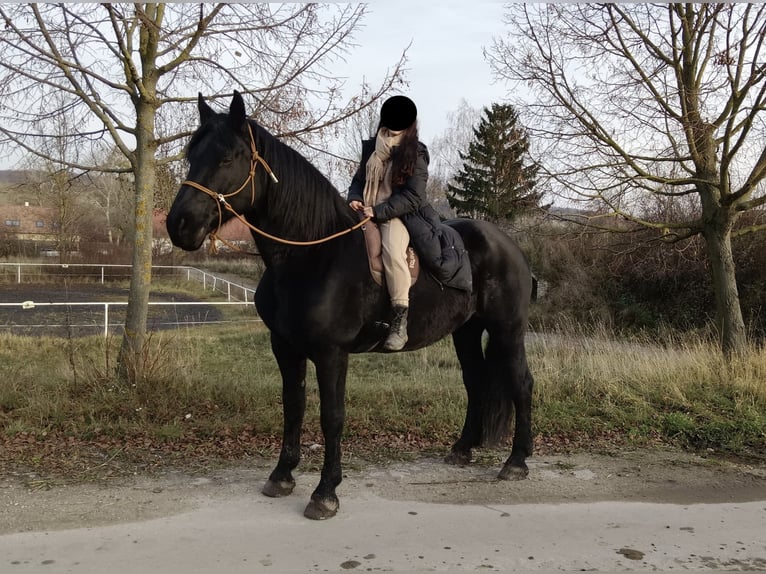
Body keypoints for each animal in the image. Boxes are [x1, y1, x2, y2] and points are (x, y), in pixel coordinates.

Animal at [166, 91, 536, 520]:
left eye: (227, 158)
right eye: (193, 155)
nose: (179, 224)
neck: (311, 255)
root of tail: (511, 246)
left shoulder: (331, 354)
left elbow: (332, 417)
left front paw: (325, 492)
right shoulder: (285, 349)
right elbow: (293, 407)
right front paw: (282, 476)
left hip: (508, 330)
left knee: (521, 384)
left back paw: (516, 462)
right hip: (466, 330)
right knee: (476, 381)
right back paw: (462, 450)